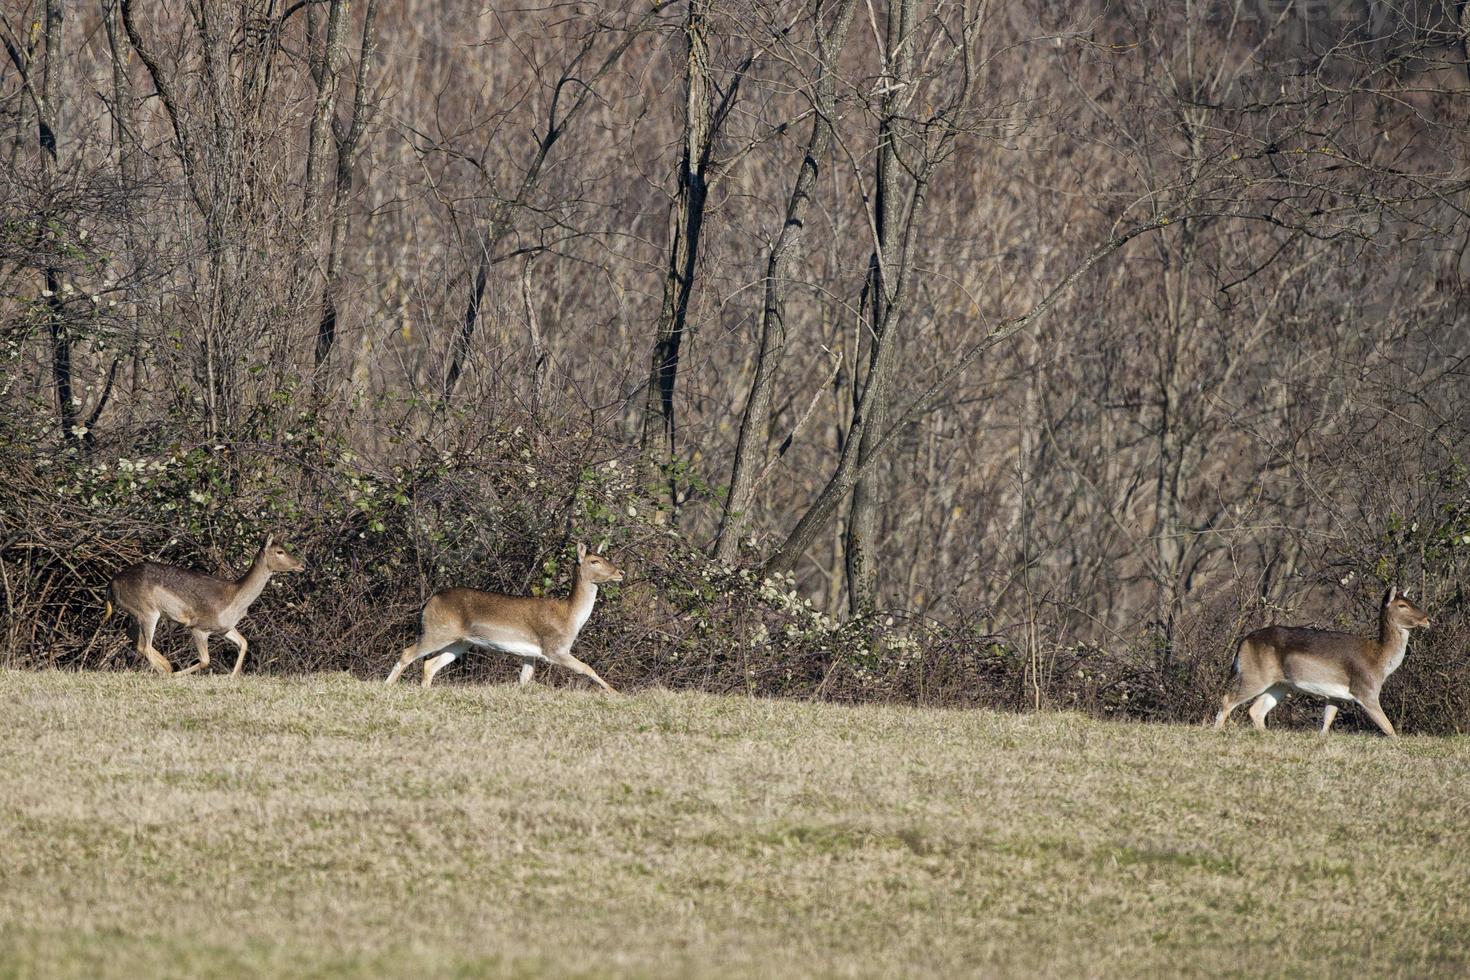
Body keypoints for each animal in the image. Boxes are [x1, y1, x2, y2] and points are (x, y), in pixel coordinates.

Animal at [108, 537, 307, 675]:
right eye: (280, 551)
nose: (301, 565)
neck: (235, 599)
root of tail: (111, 584)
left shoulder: (225, 628)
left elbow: (244, 642)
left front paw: (233, 677)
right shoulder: (198, 627)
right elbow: (205, 660)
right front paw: (176, 675)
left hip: (137, 614)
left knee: (133, 636)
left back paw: (166, 666)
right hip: (148, 613)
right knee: (145, 646)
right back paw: (166, 670)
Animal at [385, 540, 620, 693]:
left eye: (605, 557)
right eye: (594, 561)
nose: (620, 573)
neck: (570, 617)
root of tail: (428, 603)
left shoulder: (531, 653)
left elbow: (525, 679)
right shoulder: (555, 649)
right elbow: (587, 668)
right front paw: (615, 693)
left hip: (460, 641)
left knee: (430, 664)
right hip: (437, 631)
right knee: (408, 653)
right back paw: (388, 686)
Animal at [1211, 587, 1428, 740]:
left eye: (1412, 601)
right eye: (1402, 605)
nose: (1426, 619)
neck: (1380, 660)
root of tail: (1242, 643)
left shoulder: (1335, 696)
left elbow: (1327, 721)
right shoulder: (1366, 691)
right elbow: (1388, 728)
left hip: (1280, 684)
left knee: (1256, 710)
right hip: (1254, 675)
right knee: (1228, 699)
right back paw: (1216, 732)